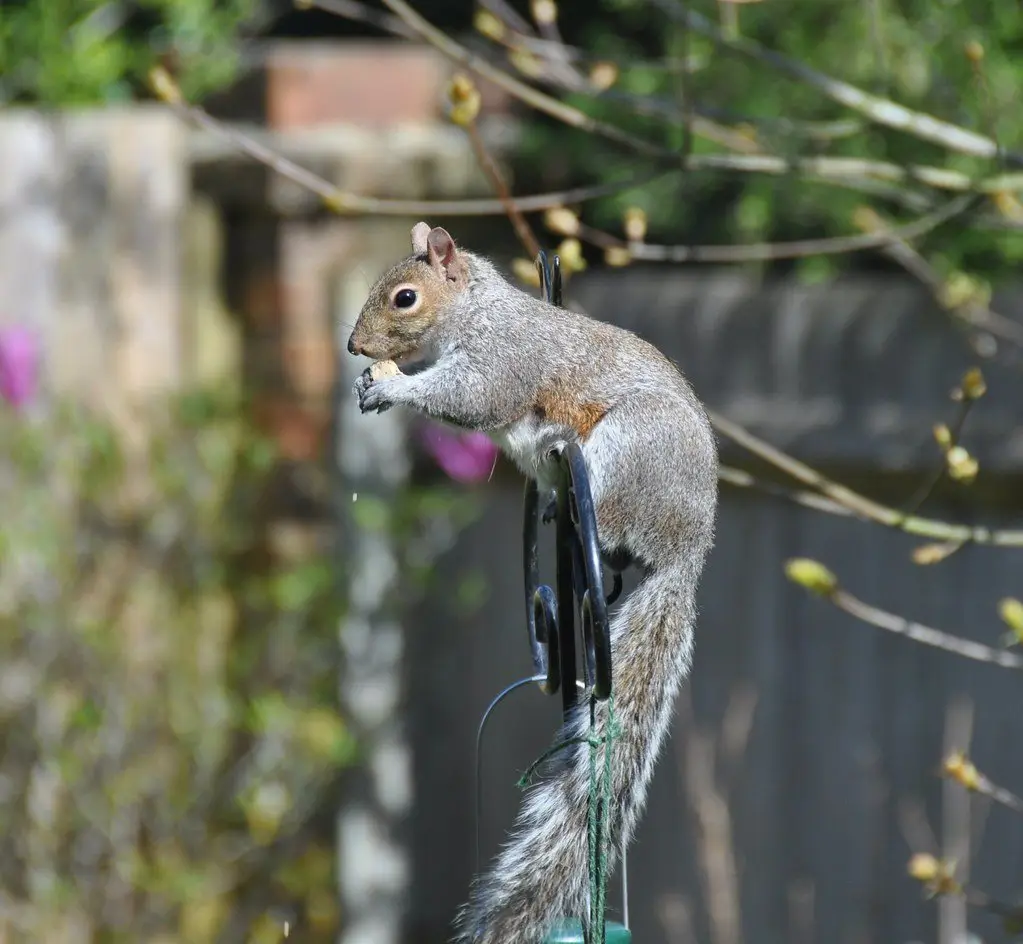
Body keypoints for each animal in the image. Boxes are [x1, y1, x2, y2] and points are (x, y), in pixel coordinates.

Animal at [347, 222, 718, 944]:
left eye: (405, 297)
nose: (354, 346)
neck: (477, 311)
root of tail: (686, 548)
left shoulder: (501, 363)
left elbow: (468, 399)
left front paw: (393, 388)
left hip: (627, 448)